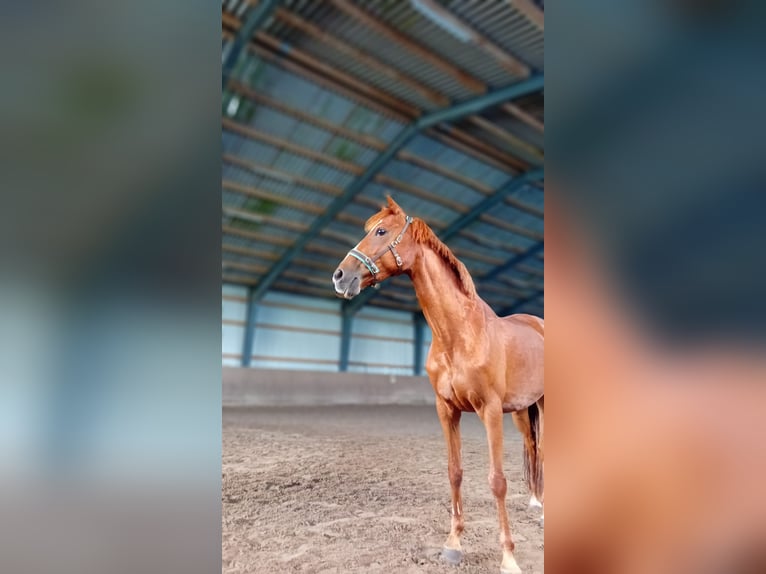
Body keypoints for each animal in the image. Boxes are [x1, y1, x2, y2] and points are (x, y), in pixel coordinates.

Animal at [331, 196, 544, 574]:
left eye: (380, 231)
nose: (340, 276)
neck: (460, 334)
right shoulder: (447, 410)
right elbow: (454, 472)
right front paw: (454, 543)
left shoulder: (490, 411)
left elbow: (497, 481)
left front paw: (508, 557)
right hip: (522, 410)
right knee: (533, 447)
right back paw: (535, 502)